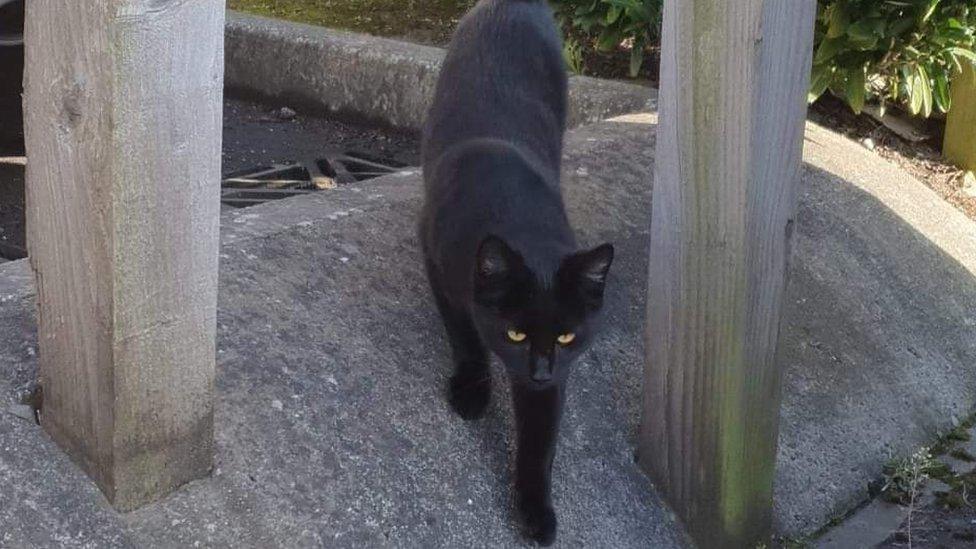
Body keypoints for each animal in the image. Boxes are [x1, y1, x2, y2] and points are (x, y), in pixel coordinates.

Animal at [418, 0, 608, 544]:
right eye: (516, 333)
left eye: (566, 337)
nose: (540, 370)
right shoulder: (438, 264)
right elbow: (464, 333)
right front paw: (471, 391)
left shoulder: (556, 376)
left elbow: (540, 440)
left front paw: (536, 511)